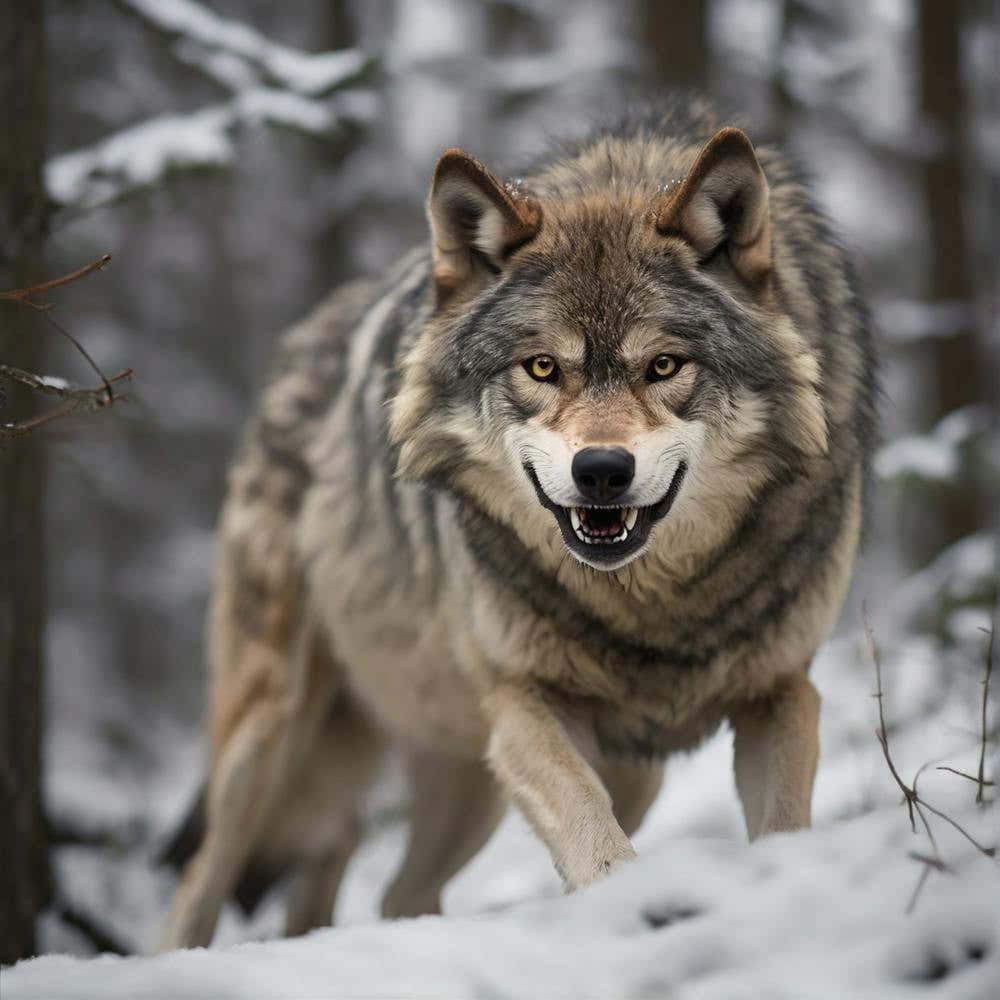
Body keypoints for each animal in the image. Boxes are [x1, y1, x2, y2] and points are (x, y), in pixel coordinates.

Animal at [160, 99, 876, 949]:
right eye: (541, 368)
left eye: (664, 367)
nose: (602, 470)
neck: (654, 607)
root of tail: (298, 345)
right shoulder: (524, 704)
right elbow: (592, 836)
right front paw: (632, 908)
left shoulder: (782, 691)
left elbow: (783, 827)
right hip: (268, 735)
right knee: (202, 885)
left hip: (547, 774)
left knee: (388, 887)